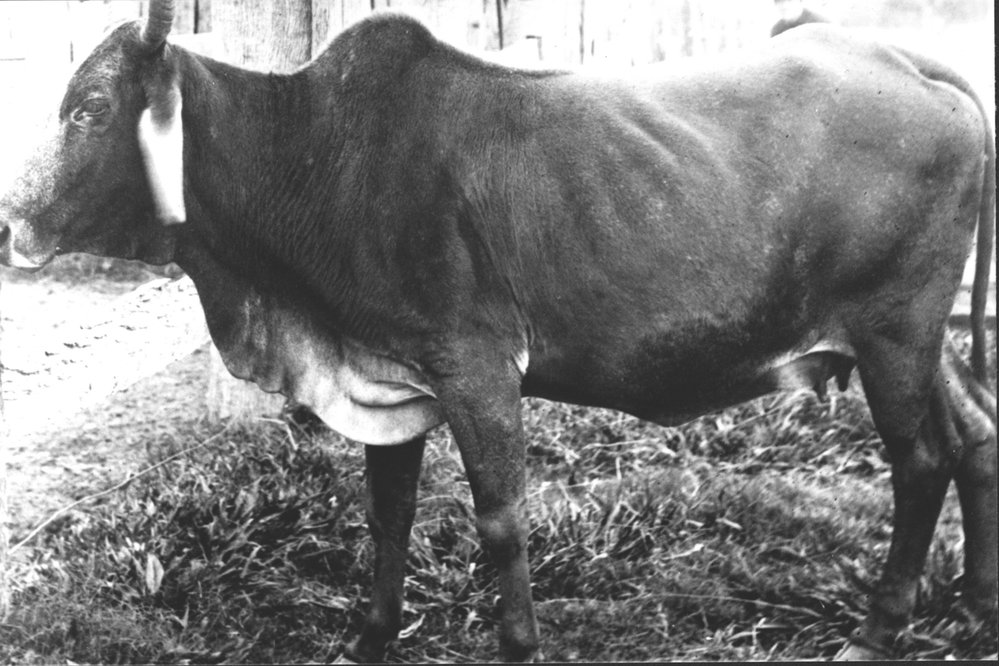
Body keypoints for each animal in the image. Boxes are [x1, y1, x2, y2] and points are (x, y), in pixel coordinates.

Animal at [0, 0, 995, 660]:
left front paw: (516, 643)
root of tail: (910, 62)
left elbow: (500, 522)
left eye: (91, 109)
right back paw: (978, 601)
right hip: (914, 339)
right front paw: (368, 639)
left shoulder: (475, 368)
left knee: (920, 463)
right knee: (974, 434)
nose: (15, 221)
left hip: (893, 331)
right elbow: (388, 515)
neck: (316, 159)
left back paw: (878, 632)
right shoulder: (388, 376)